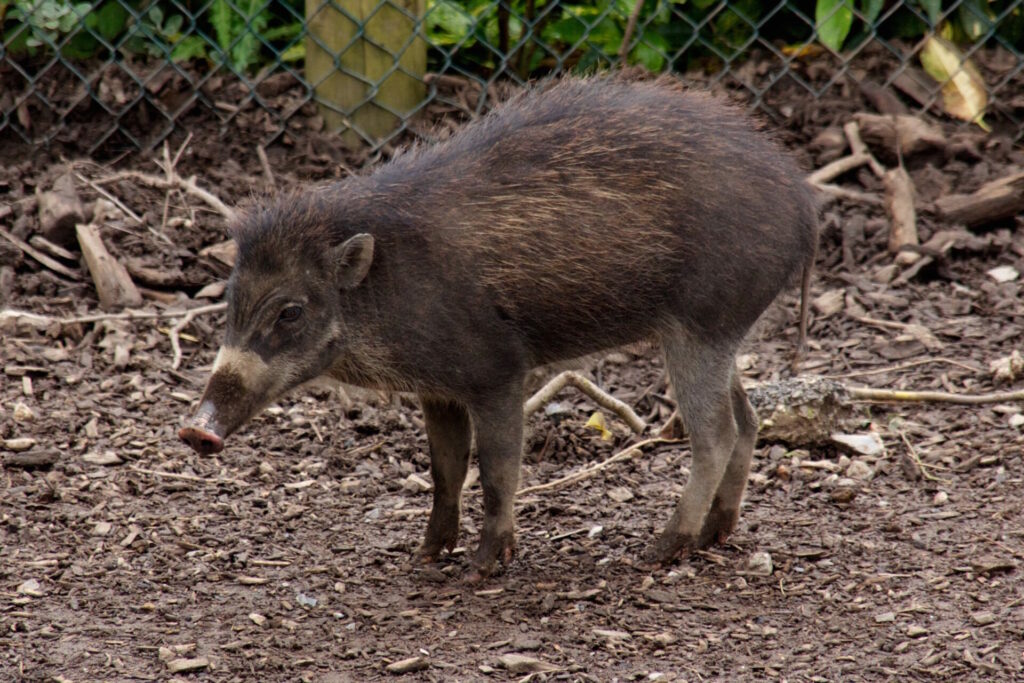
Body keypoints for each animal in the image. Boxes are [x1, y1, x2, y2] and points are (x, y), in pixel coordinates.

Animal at [180, 76, 819, 577]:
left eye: (289, 311)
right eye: (231, 300)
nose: (194, 432)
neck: (381, 290)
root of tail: (804, 204)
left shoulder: (498, 372)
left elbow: (496, 468)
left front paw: (486, 565)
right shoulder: (437, 389)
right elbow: (444, 470)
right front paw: (425, 555)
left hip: (699, 328)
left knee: (715, 433)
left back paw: (661, 550)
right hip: (721, 333)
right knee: (749, 418)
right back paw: (716, 534)